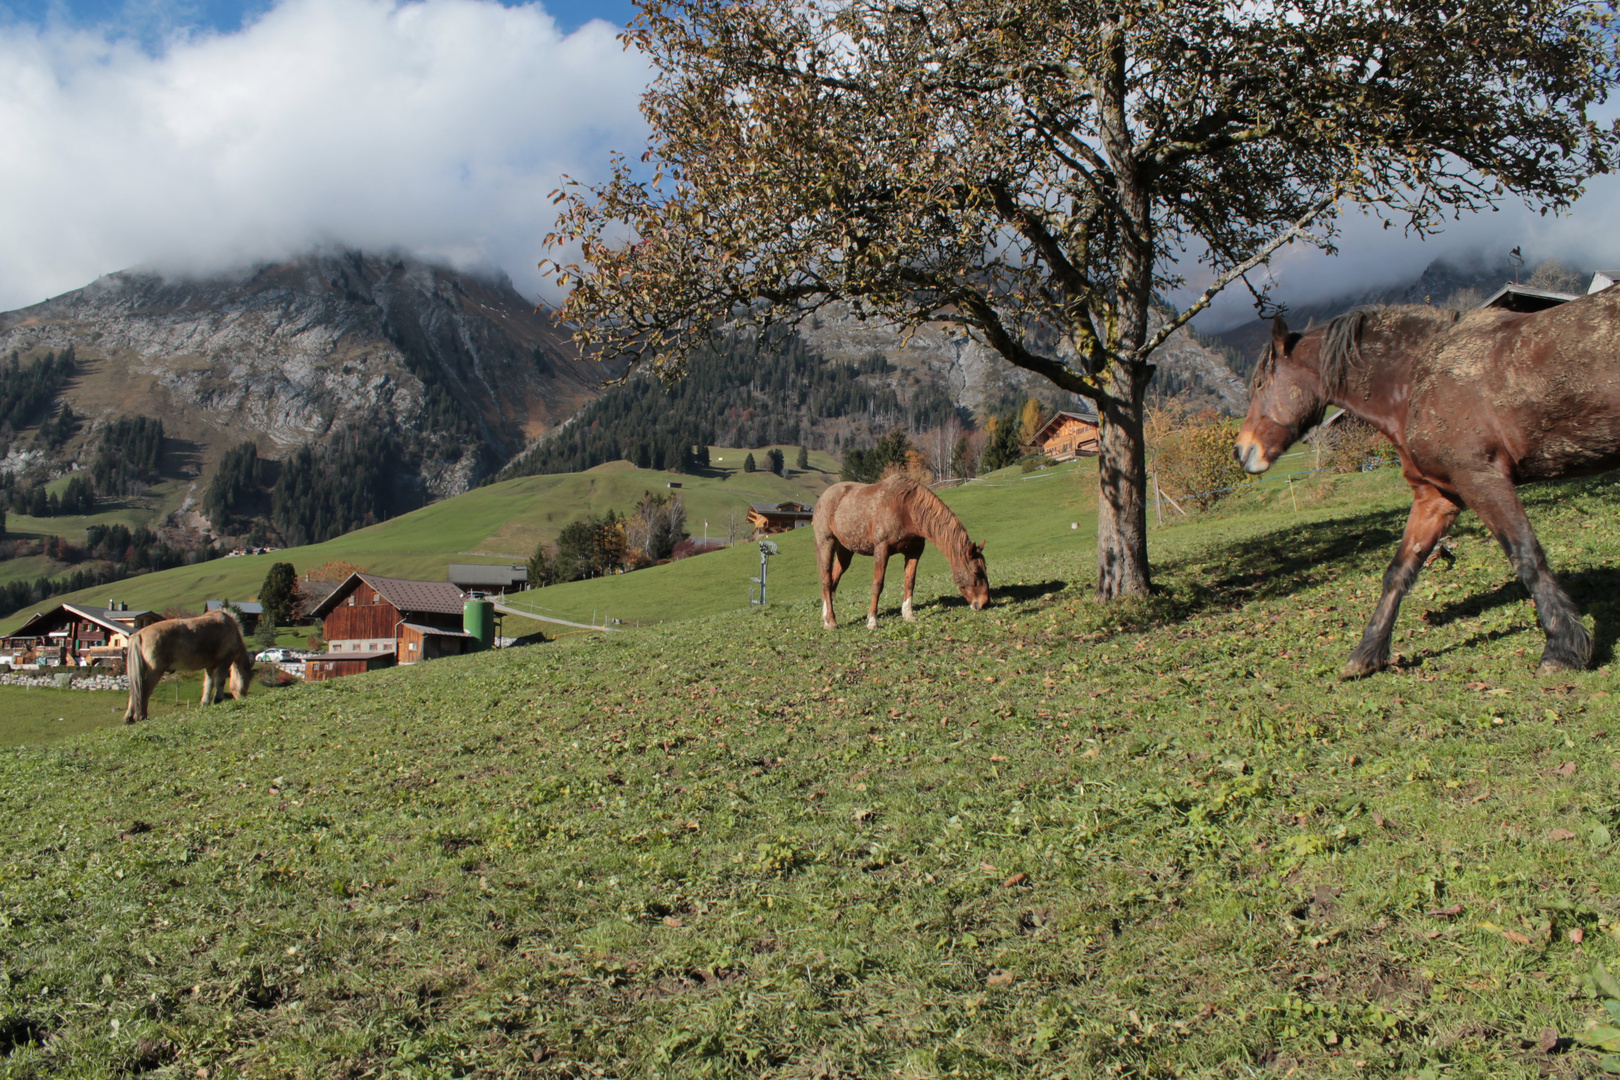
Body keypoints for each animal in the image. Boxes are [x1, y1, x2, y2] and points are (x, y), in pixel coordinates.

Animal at [123, 612, 251, 722]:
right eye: (247, 680)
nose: (243, 698)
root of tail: (139, 634)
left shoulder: (210, 667)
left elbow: (208, 684)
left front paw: (205, 703)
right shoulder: (224, 662)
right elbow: (220, 681)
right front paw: (217, 700)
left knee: (134, 691)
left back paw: (129, 718)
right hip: (154, 672)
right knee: (144, 691)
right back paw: (141, 716)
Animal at [810, 476, 984, 628]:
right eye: (976, 572)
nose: (984, 602)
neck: (906, 508)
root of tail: (822, 498)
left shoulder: (914, 551)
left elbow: (909, 582)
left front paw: (908, 614)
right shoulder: (881, 550)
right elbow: (877, 585)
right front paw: (872, 621)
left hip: (845, 551)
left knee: (833, 581)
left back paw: (826, 617)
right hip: (826, 542)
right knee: (826, 580)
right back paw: (831, 622)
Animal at [1231, 286, 1620, 676]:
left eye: (1261, 383)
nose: (1240, 450)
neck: (1416, 377)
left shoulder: (1481, 481)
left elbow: (1527, 556)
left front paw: (1562, 648)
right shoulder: (1437, 497)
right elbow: (1399, 571)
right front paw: (1366, 653)